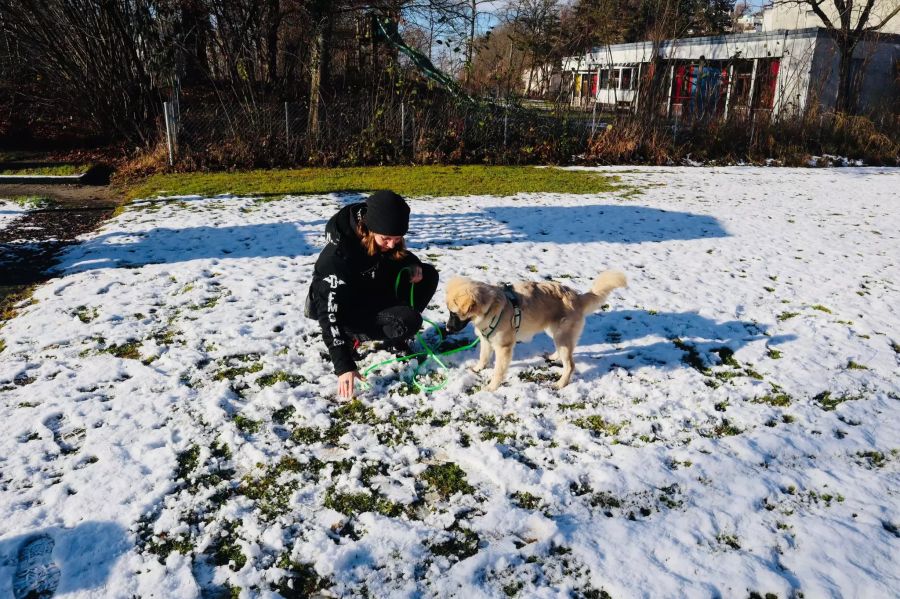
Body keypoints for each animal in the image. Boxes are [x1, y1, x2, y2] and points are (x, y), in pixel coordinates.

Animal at [444, 270, 624, 392]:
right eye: (450, 312)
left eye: (454, 313)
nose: (447, 329)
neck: (491, 308)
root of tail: (577, 297)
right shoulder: (486, 340)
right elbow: (483, 357)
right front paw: (477, 369)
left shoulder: (504, 347)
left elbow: (498, 371)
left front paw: (492, 387)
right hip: (556, 334)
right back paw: (553, 357)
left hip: (562, 336)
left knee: (570, 365)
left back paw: (560, 383)